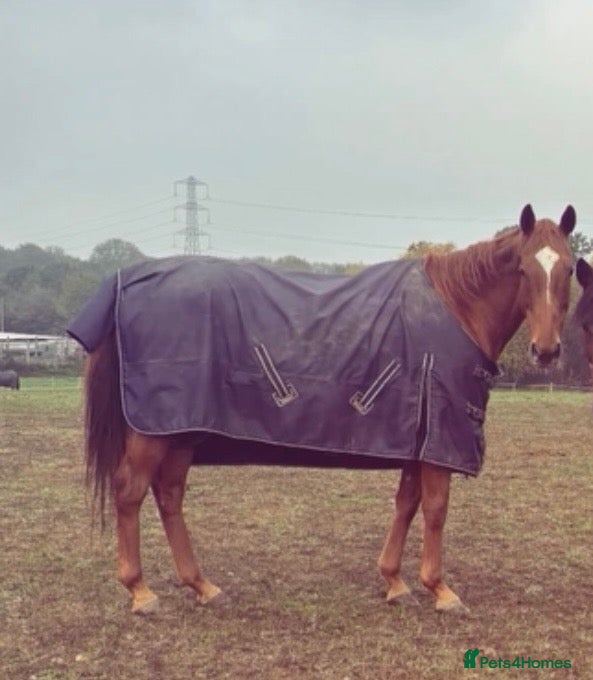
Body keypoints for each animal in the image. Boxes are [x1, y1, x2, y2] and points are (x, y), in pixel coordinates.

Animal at [68, 204, 575, 615]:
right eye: (524, 268)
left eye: (570, 269)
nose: (547, 350)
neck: (456, 309)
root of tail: (124, 283)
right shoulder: (438, 441)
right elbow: (435, 509)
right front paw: (439, 588)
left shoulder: (416, 436)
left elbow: (406, 503)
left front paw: (394, 581)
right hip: (153, 432)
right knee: (130, 492)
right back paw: (140, 591)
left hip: (181, 431)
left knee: (169, 495)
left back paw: (201, 585)